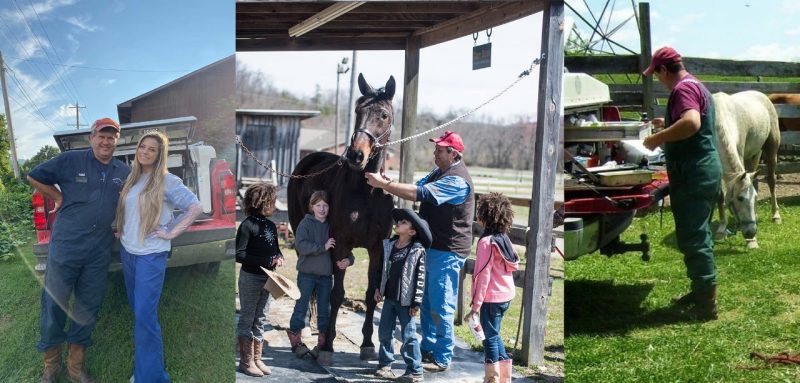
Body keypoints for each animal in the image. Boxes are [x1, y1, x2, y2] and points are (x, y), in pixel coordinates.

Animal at [290, 73, 396, 362]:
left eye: (383, 114)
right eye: (357, 111)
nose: (356, 155)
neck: (367, 192)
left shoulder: (377, 249)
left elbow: (371, 295)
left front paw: (367, 344)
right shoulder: (342, 244)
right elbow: (337, 294)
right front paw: (328, 346)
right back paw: (310, 327)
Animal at [712, 91, 780, 250]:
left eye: (754, 198)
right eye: (740, 198)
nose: (751, 232)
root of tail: (762, 95)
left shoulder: (740, 152)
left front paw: (752, 241)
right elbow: (720, 195)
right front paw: (721, 229)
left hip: (770, 151)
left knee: (771, 181)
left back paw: (775, 215)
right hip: (753, 155)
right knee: (754, 179)